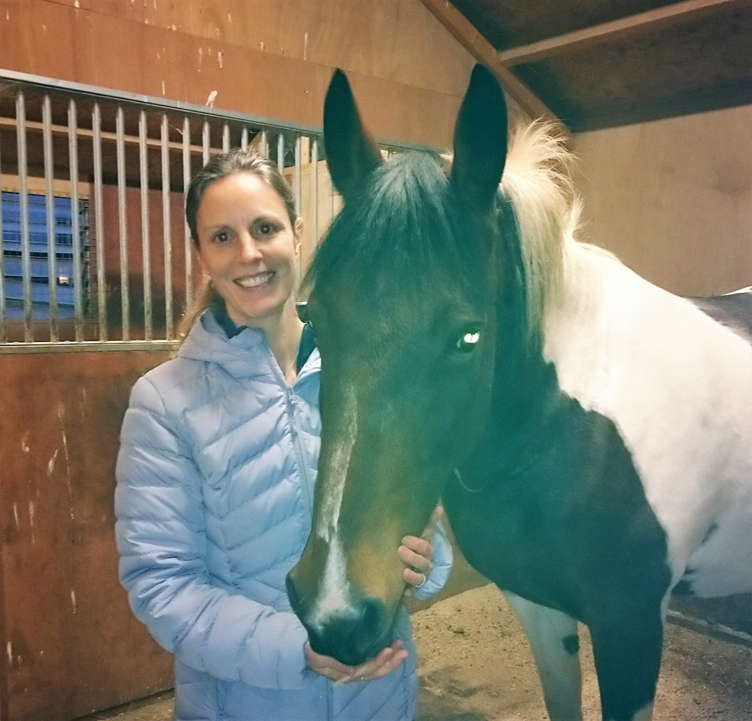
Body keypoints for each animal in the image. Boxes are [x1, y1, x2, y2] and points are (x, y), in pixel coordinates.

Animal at [284, 63, 752, 720]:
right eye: (313, 318)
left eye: (468, 336)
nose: (336, 611)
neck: (573, 433)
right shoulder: (540, 609)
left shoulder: (631, 627)